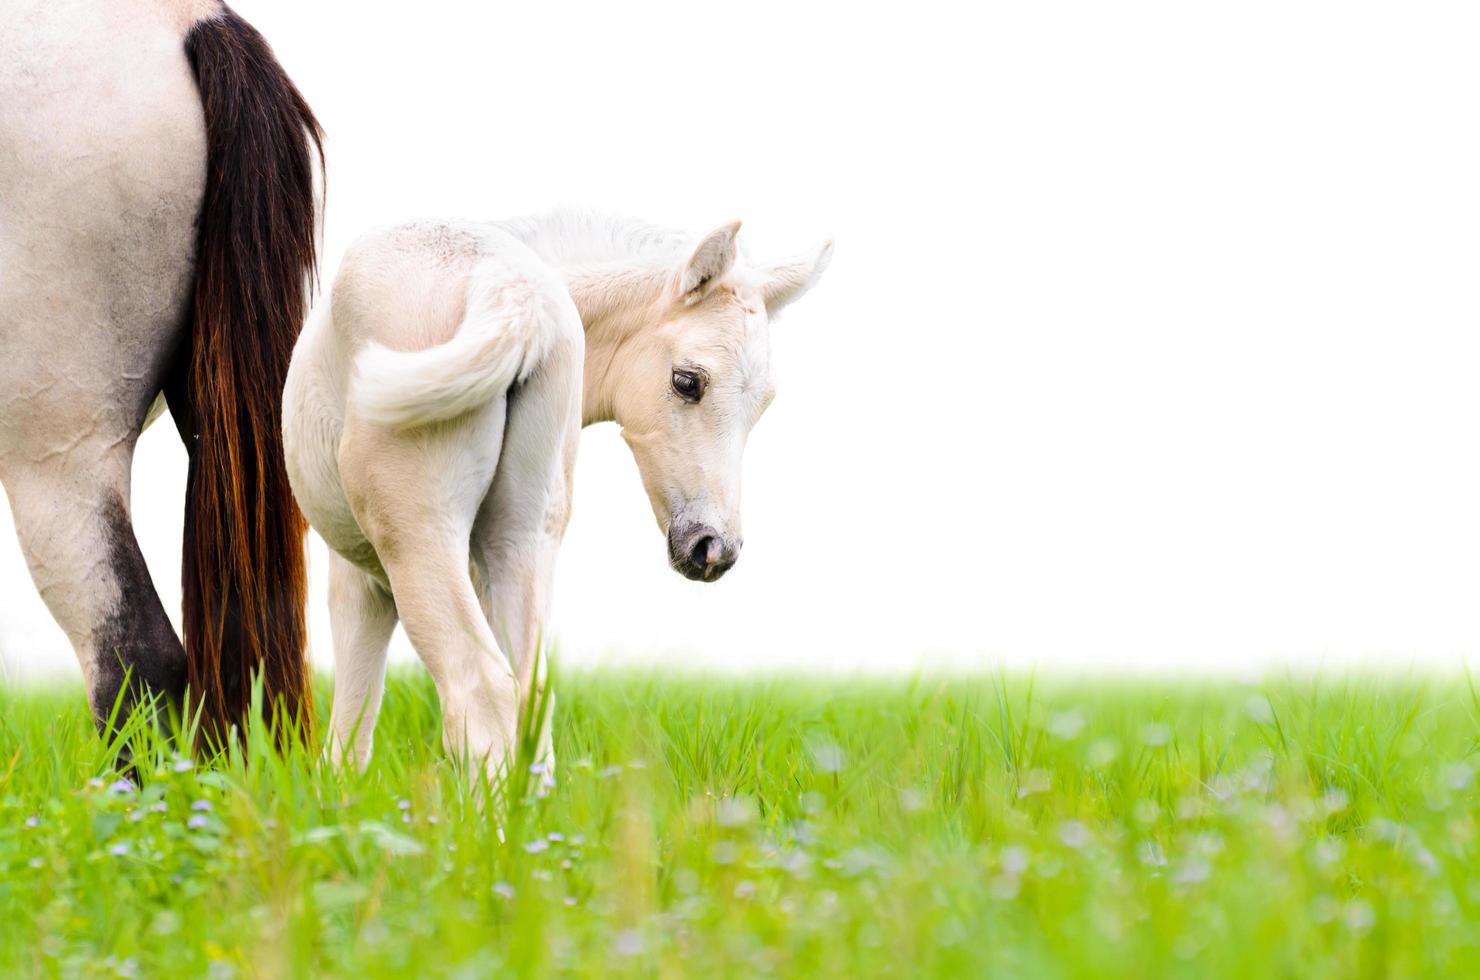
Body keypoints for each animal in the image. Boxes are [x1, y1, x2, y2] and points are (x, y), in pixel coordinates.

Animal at [279, 211, 834, 781]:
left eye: (762, 404)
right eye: (686, 381)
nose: (713, 548)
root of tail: (513, 290)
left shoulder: (363, 581)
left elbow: (351, 728)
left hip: (419, 537)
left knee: (482, 692)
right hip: (520, 539)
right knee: (529, 698)